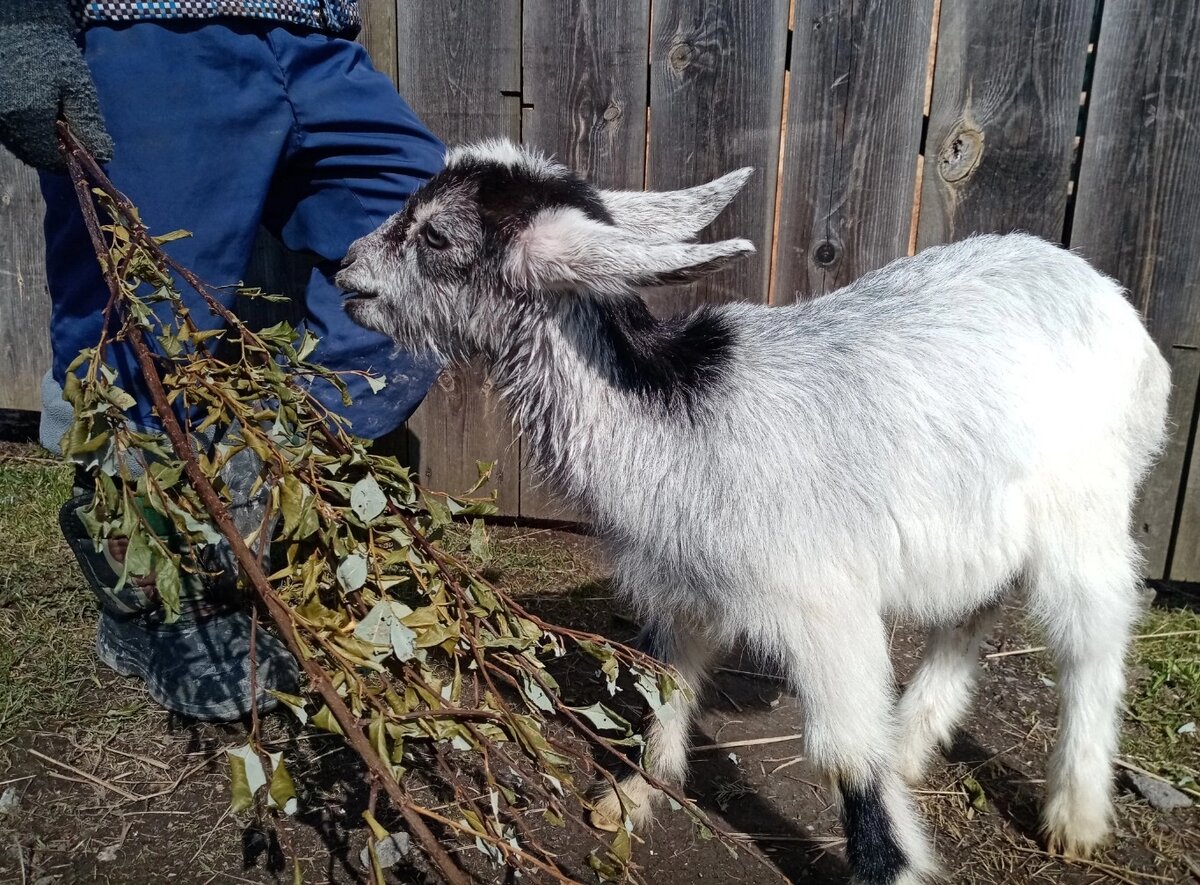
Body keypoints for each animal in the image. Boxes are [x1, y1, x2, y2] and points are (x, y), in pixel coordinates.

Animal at [338, 139, 1171, 882]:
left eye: (437, 235)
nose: (345, 269)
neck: (672, 411)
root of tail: (1102, 291)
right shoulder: (681, 585)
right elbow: (669, 679)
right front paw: (637, 794)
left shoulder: (821, 605)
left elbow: (845, 754)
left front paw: (889, 863)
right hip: (978, 521)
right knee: (972, 610)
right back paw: (911, 742)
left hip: (1087, 507)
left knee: (1092, 638)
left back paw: (1075, 812)